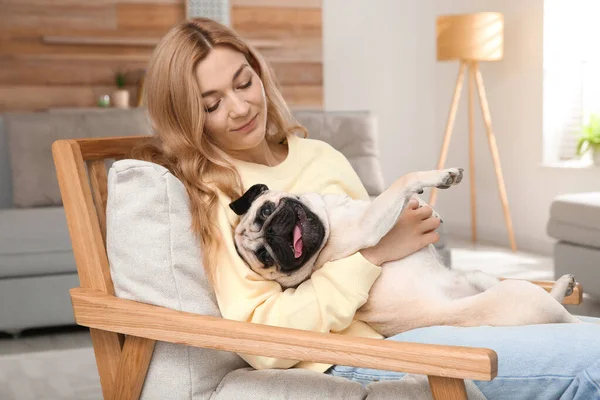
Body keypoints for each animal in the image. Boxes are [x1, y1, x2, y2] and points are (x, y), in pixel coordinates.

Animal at [230, 167, 580, 336]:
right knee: (562, 311)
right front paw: (440, 176)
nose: (273, 233)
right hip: (521, 293)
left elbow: (400, 196)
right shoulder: (368, 225)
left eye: (265, 212)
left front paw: (427, 206)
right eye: (265, 258)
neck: (329, 222)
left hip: (481, 276)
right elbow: (403, 181)